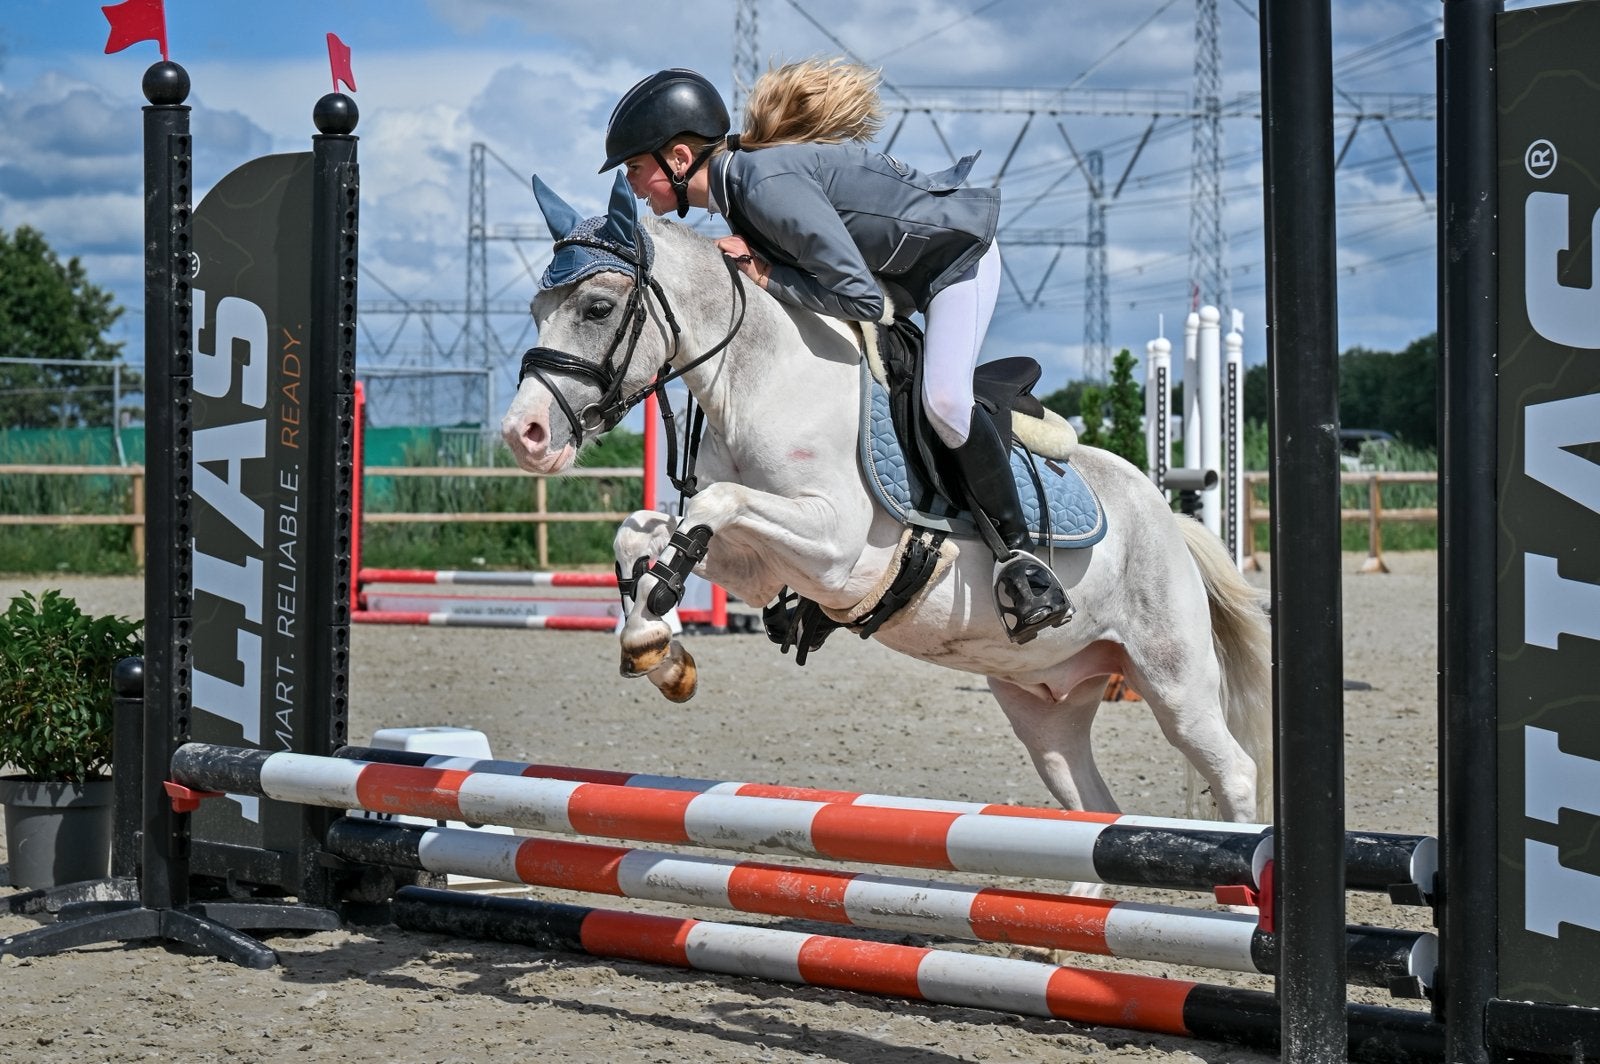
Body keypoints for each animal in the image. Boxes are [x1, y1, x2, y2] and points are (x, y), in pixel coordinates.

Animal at [500, 175, 1274, 826]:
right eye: (535, 309)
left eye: (598, 307)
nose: (524, 436)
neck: (763, 382)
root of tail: (1166, 517)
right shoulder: (765, 566)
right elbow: (642, 530)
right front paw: (654, 643)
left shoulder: (838, 550)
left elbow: (712, 503)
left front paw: (658, 616)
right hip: (1042, 702)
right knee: (1091, 803)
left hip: (1172, 680)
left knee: (1232, 771)